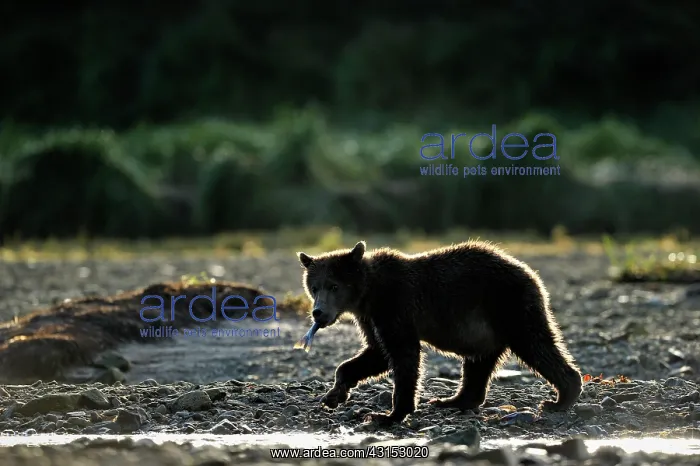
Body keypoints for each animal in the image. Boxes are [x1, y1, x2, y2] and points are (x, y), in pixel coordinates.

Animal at [296, 240, 582, 426]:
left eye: (334, 285)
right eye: (314, 286)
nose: (318, 313)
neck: (368, 295)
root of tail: (530, 272)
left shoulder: (396, 306)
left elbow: (403, 354)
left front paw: (388, 415)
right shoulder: (370, 319)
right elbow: (376, 353)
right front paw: (334, 394)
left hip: (508, 305)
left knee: (535, 344)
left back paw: (562, 397)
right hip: (485, 329)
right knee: (479, 364)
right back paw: (453, 400)